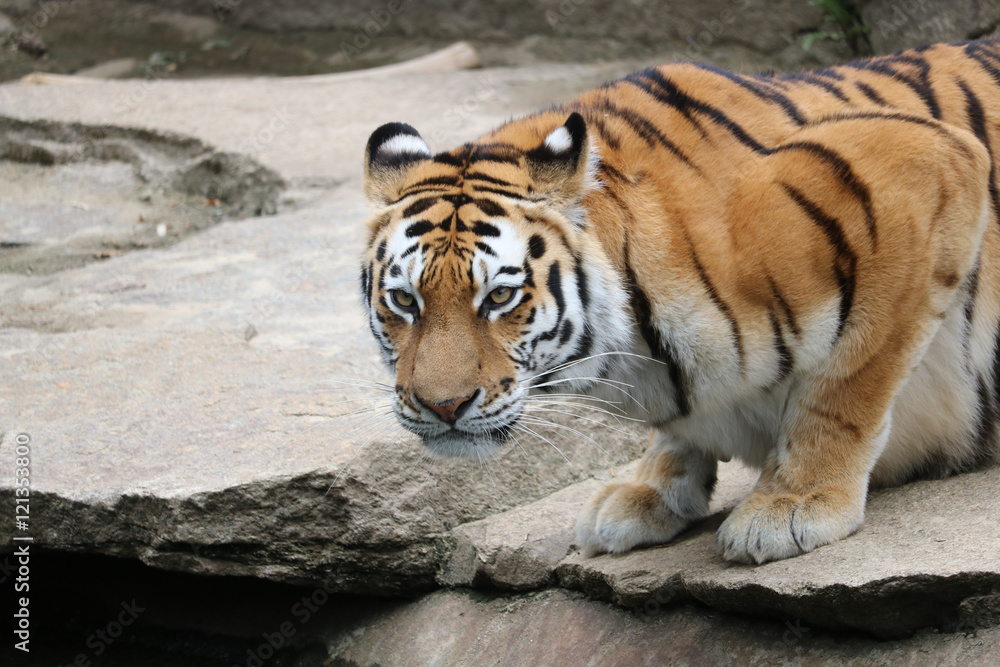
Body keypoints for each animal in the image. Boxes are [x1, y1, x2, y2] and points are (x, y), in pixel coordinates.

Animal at [359, 37, 1000, 564]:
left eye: (499, 296)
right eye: (404, 300)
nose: (442, 406)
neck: (634, 350)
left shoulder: (925, 167)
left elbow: (844, 386)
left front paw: (795, 503)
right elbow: (678, 432)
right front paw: (648, 490)